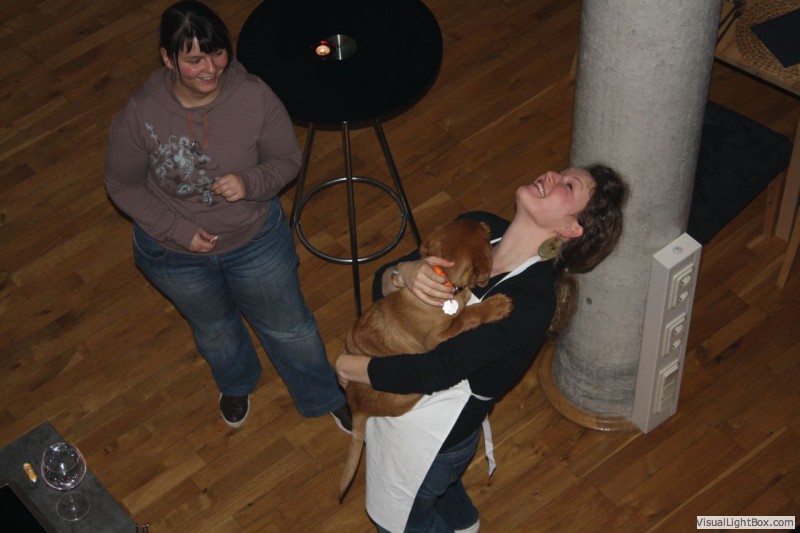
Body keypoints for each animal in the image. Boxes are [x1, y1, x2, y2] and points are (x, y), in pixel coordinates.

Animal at [338, 218, 514, 501]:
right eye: (485, 235)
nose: (486, 222)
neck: (443, 280)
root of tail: (355, 406)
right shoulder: (438, 338)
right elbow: (468, 316)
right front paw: (496, 305)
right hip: (407, 393)